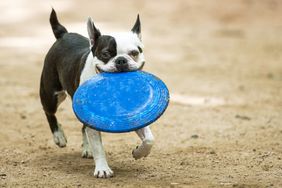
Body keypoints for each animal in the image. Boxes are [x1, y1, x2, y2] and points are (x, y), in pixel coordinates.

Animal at [39, 9, 154, 179]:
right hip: (52, 94)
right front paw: (103, 169)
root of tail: (63, 34)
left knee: (83, 128)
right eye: (105, 54)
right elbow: (98, 147)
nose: (121, 60)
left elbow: (149, 139)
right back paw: (59, 136)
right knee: (49, 112)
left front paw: (139, 152)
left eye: (134, 53)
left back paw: (86, 148)